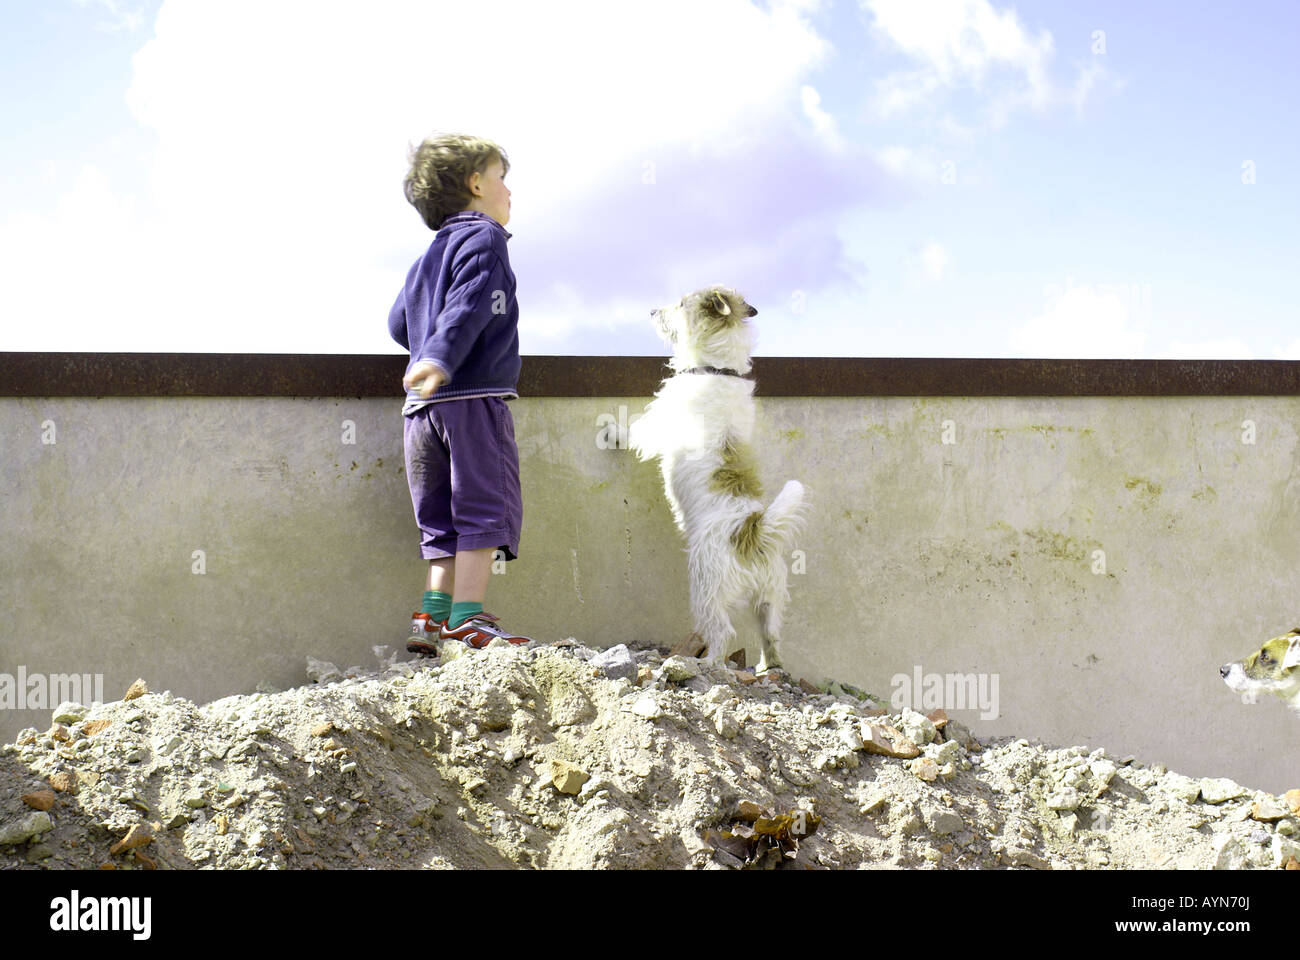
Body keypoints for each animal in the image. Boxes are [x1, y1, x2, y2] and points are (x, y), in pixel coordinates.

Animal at [626, 283, 800, 671]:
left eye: (679, 303)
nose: (650, 311)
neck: (718, 369)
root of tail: (753, 529)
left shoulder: (659, 421)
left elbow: (634, 430)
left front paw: (608, 430)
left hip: (707, 588)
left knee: (721, 632)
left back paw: (708, 663)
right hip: (769, 599)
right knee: (772, 637)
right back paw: (768, 667)